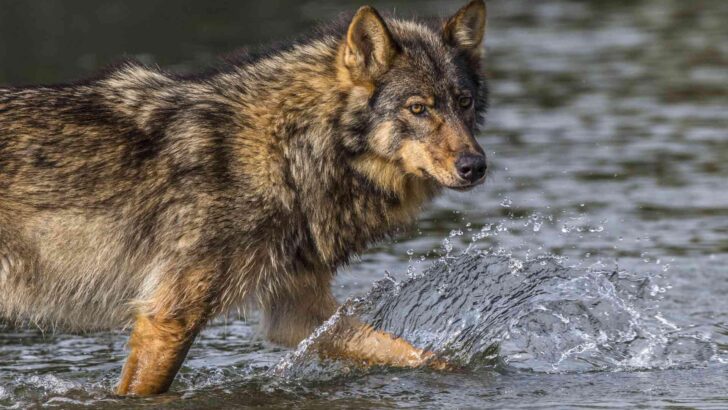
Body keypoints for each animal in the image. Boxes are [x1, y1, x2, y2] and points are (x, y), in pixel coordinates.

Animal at [0, 0, 488, 395]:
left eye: (463, 102)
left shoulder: (298, 313)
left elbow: (423, 356)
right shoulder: (168, 318)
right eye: (418, 108)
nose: (476, 166)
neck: (287, 151)